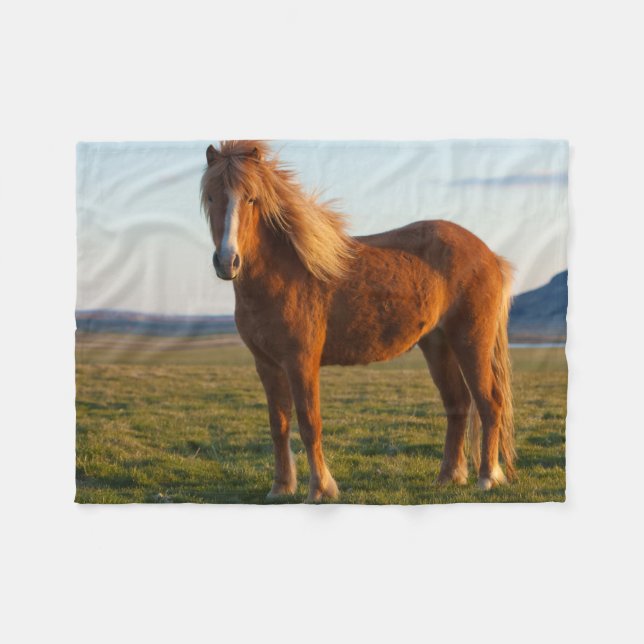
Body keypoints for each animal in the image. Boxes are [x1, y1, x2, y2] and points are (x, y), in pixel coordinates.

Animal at [201, 140, 516, 502]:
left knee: (489, 402)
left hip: (471, 343)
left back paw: (487, 477)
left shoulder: (301, 362)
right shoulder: (266, 365)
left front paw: (320, 488)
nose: (227, 261)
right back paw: (449, 476)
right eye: (211, 197)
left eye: (251, 198)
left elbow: (309, 423)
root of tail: (489, 254)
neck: (283, 272)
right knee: (458, 404)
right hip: (438, 345)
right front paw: (281, 487)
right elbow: (278, 424)